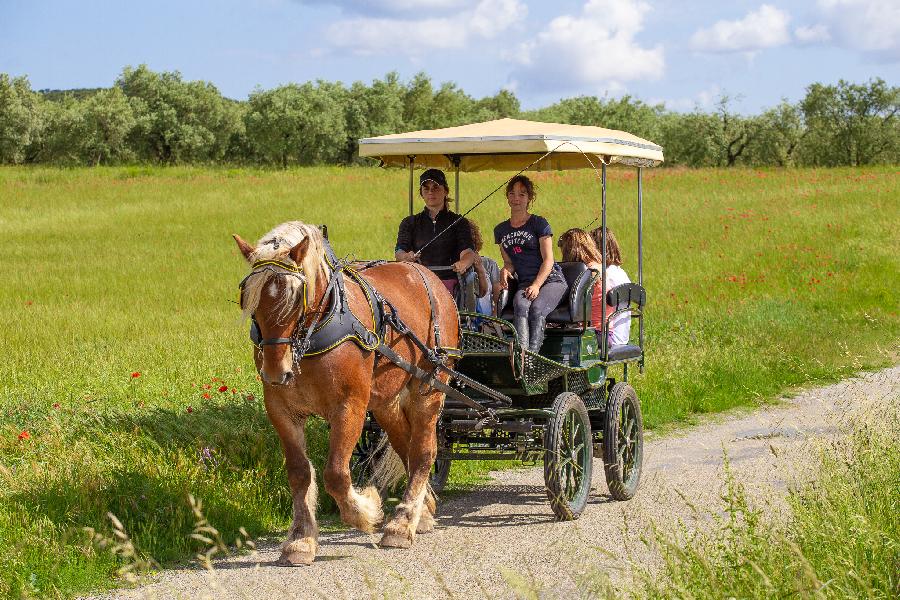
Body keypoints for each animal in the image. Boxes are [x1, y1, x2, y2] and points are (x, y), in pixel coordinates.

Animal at [234, 223, 458, 564]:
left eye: (295, 298)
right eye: (248, 296)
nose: (275, 372)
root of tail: (429, 276)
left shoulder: (349, 406)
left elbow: (336, 474)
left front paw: (366, 510)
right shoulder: (281, 409)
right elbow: (299, 473)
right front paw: (300, 540)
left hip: (429, 387)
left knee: (424, 451)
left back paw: (402, 523)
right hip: (386, 400)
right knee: (404, 444)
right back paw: (423, 511)